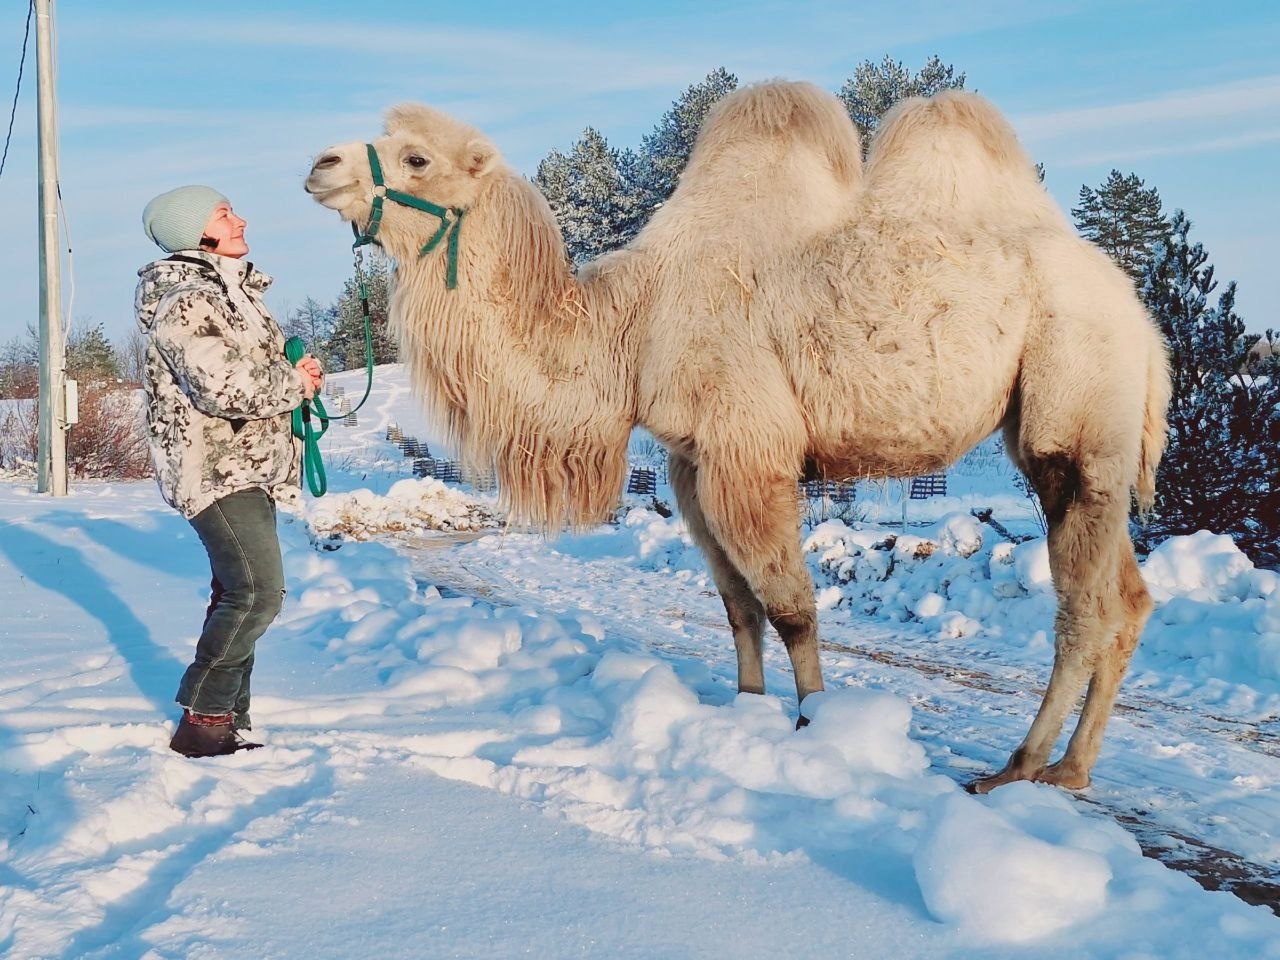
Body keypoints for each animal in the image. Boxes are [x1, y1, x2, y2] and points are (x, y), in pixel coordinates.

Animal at [307, 82, 1172, 793]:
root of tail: (1143, 322)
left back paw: (1021, 767)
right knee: (1129, 598)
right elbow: (737, 608)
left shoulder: (747, 449)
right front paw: (747, 711)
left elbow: (792, 608)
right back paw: (1073, 767)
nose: (320, 164)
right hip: (1070, 439)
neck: (631, 329)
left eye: (416, 157)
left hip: (1074, 414)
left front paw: (816, 726)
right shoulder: (691, 464)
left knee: (1083, 607)